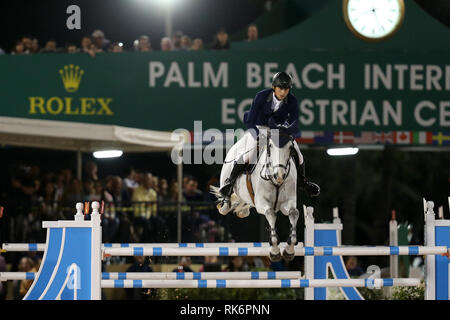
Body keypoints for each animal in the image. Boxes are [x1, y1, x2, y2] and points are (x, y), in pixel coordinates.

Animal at [210, 127, 298, 262]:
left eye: (290, 147)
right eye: (270, 146)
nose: (279, 175)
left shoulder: (287, 202)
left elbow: (293, 213)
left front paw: (289, 250)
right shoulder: (262, 203)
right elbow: (270, 213)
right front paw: (274, 250)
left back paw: (242, 211)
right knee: (226, 203)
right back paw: (225, 204)